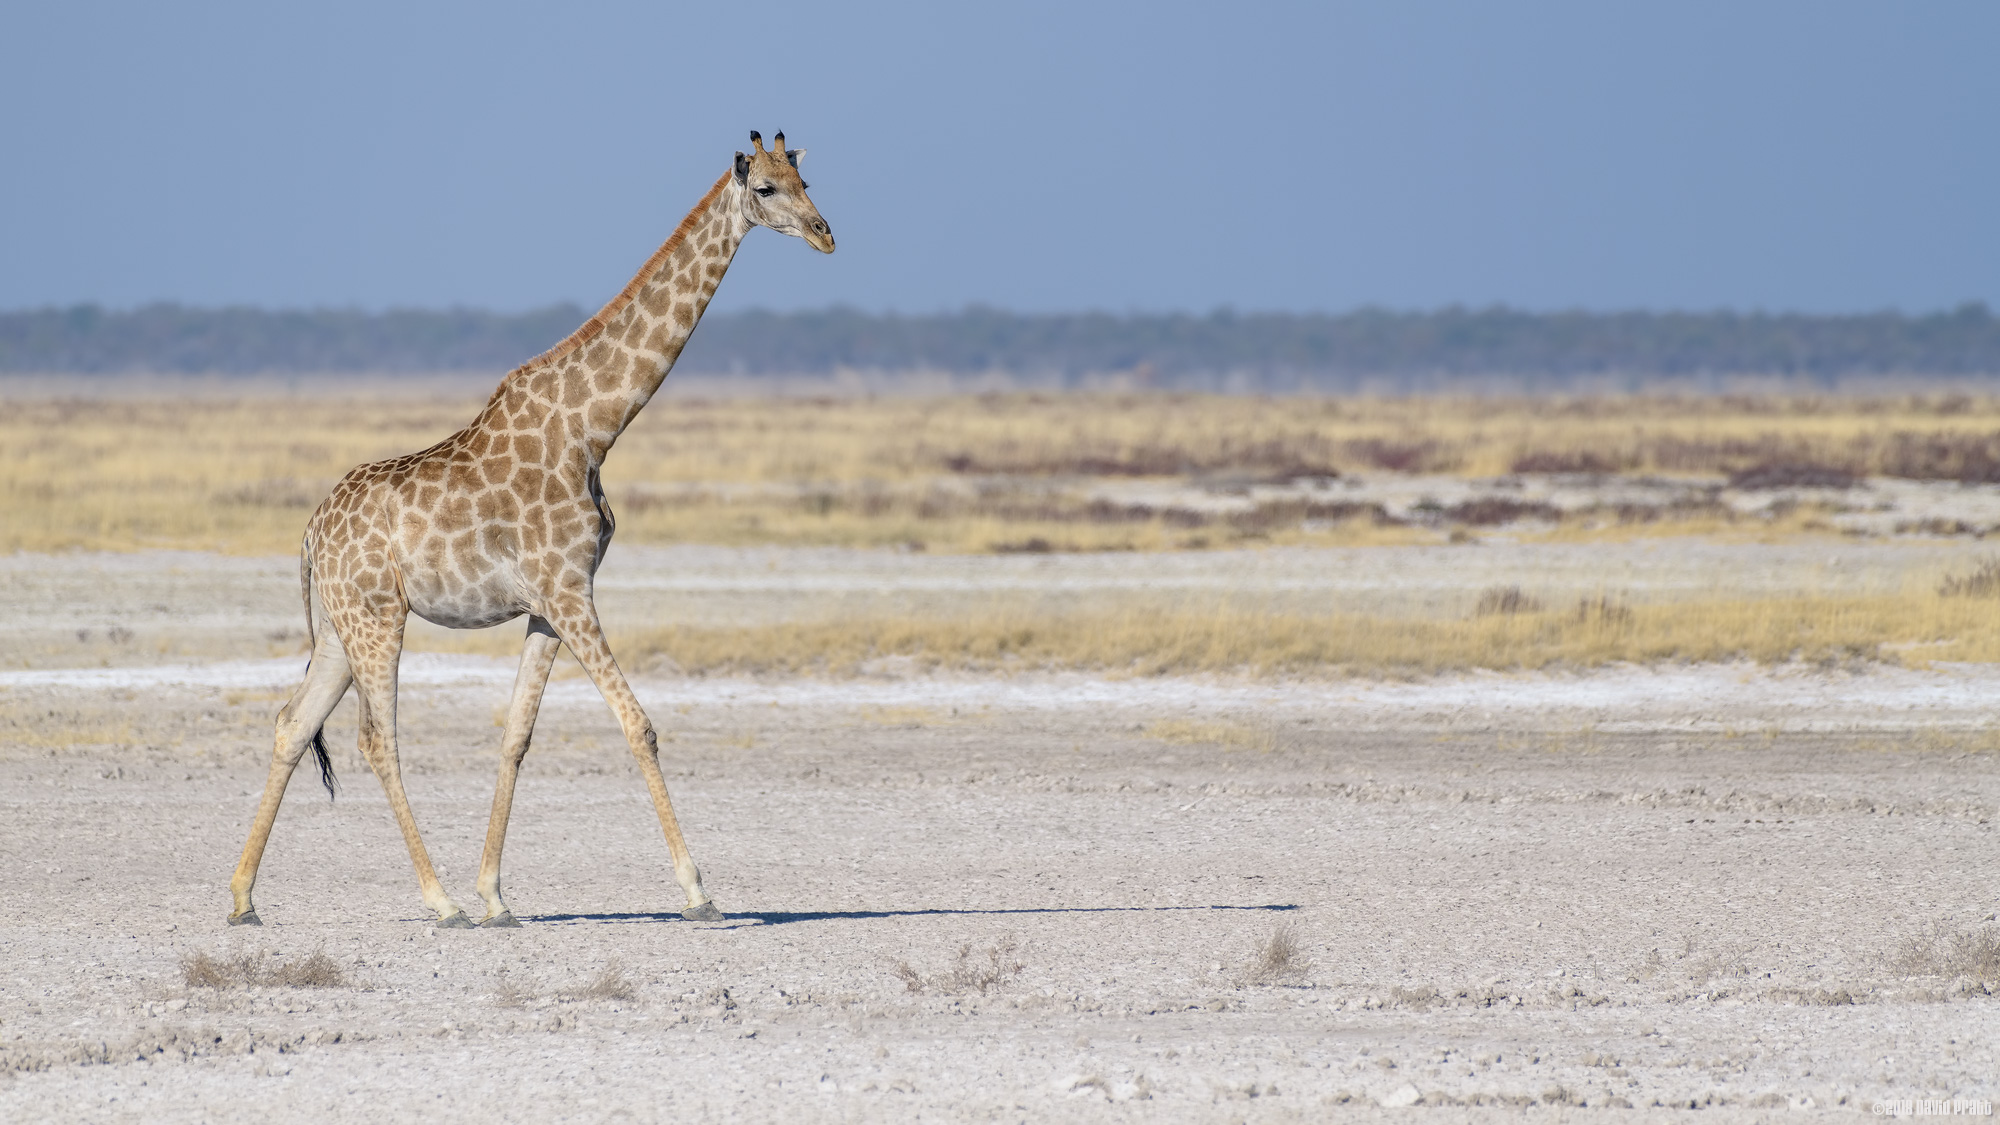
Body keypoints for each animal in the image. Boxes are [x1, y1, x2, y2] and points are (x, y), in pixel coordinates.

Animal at [226, 131, 833, 929]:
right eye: (765, 188)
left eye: (805, 178)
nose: (825, 234)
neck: (595, 429)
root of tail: (309, 534)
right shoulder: (570, 590)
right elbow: (638, 724)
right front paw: (698, 891)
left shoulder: (548, 603)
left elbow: (516, 736)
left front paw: (495, 894)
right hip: (378, 616)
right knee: (375, 738)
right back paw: (439, 900)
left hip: (337, 624)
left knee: (292, 724)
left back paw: (243, 897)